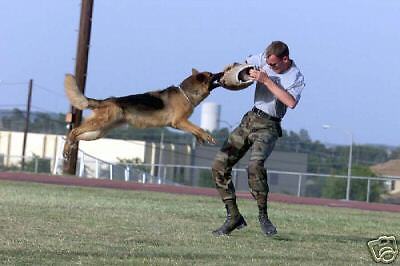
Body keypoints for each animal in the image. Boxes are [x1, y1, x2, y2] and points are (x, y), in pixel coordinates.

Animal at [64, 69, 223, 159]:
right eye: (211, 74)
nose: (222, 72)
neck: (186, 94)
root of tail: (105, 101)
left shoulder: (180, 124)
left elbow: (195, 130)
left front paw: (201, 139)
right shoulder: (179, 122)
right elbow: (199, 128)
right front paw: (207, 137)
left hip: (96, 133)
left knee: (76, 135)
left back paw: (69, 148)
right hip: (99, 124)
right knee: (74, 130)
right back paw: (68, 146)